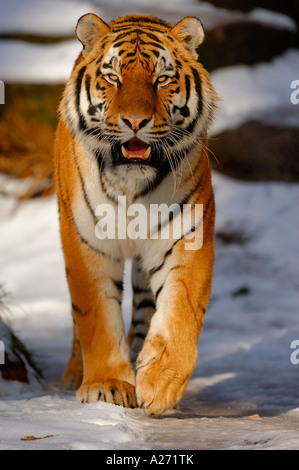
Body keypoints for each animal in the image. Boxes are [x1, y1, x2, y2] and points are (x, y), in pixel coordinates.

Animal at [54, 11, 218, 414]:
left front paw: (160, 382)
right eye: (114, 77)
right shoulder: (87, 244)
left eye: (162, 79)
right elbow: (96, 317)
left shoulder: (186, 237)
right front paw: (107, 386)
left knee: (145, 311)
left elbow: (181, 310)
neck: (130, 185)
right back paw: (75, 375)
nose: (135, 121)